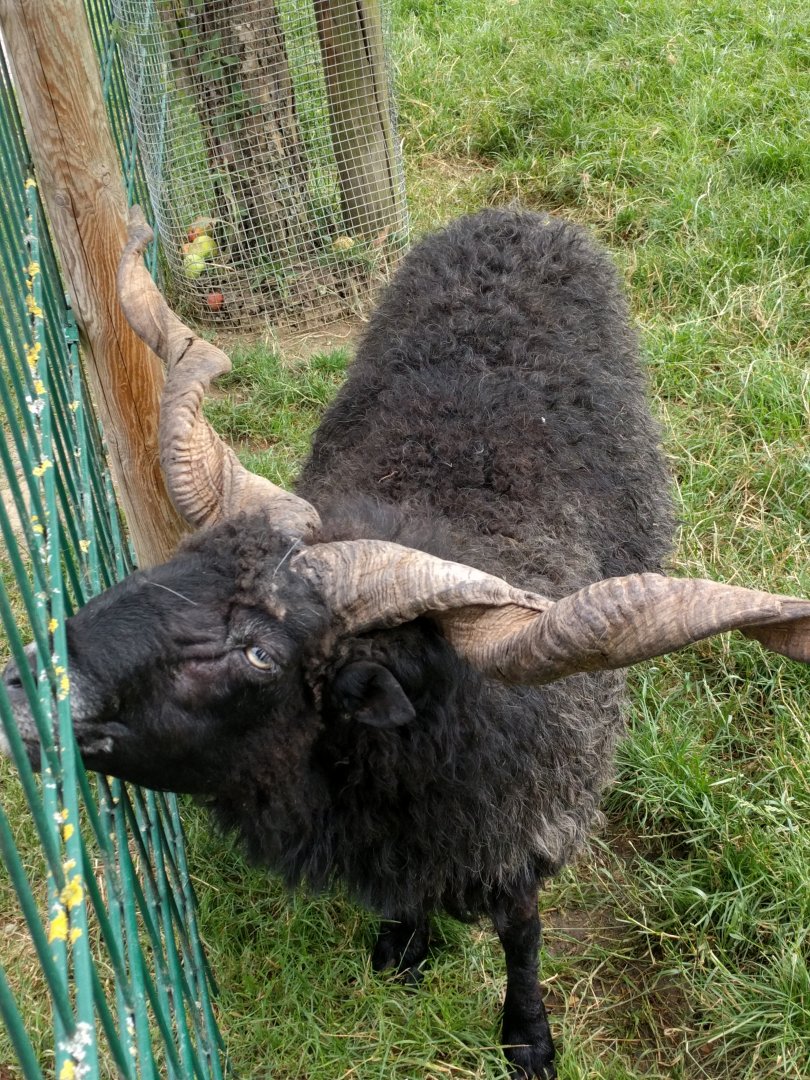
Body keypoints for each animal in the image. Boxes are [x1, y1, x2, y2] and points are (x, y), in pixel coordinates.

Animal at [4, 206, 810, 1079]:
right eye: (181, 562)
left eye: (258, 652)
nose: (24, 692)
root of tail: (514, 215)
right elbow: (405, 903)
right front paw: (403, 949)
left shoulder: (522, 824)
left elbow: (522, 932)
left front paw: (527, 1038)